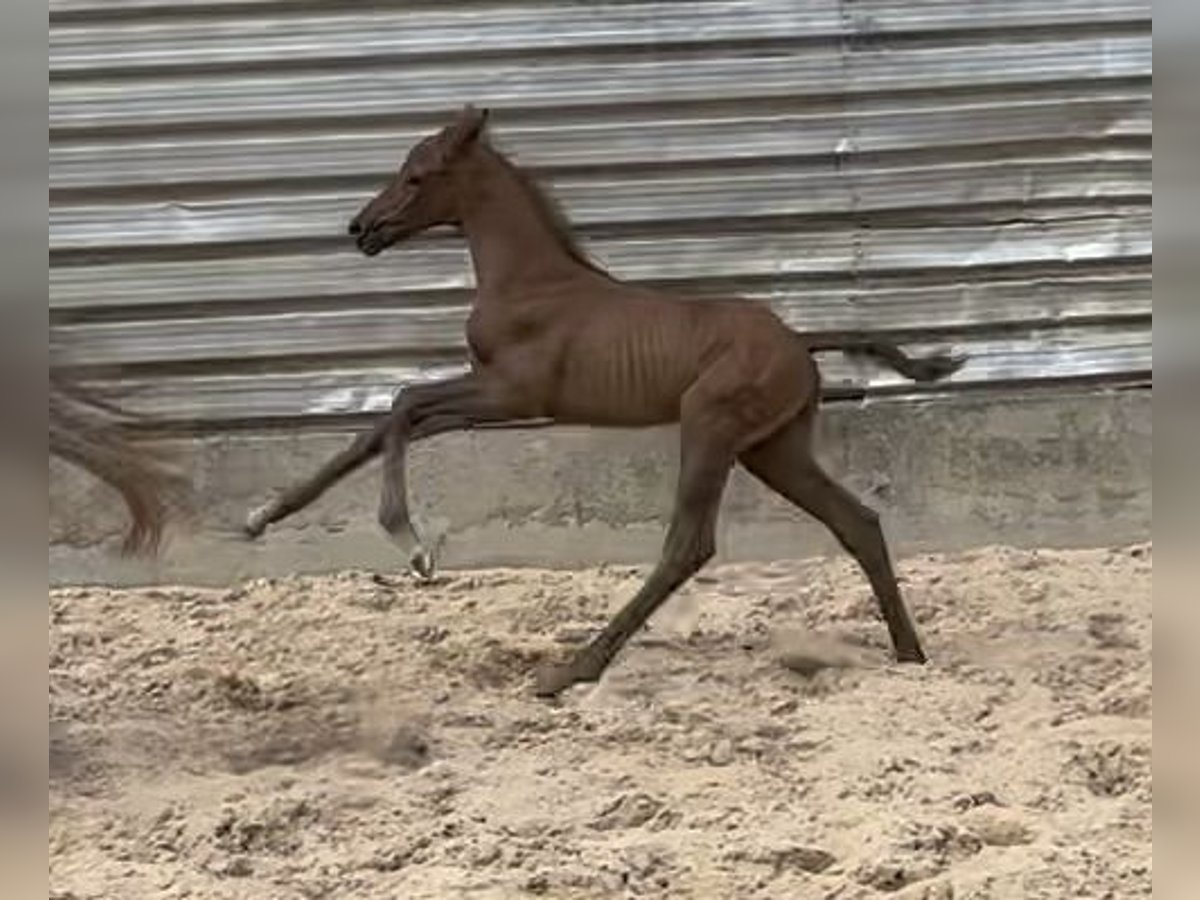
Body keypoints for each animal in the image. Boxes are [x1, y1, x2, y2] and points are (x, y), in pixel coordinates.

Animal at [243, 105, 964, 696]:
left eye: (417, 177)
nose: (360, 227)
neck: (531, 280)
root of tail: (801, 342)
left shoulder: (514, 393)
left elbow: (402, 403)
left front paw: (412, 544)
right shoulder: (492, 393)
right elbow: (391, 420)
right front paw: (262, 516)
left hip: (709, 427)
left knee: (688, 545)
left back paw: (570, 670)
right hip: (772, 449)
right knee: (857, 522)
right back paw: (910, 654)